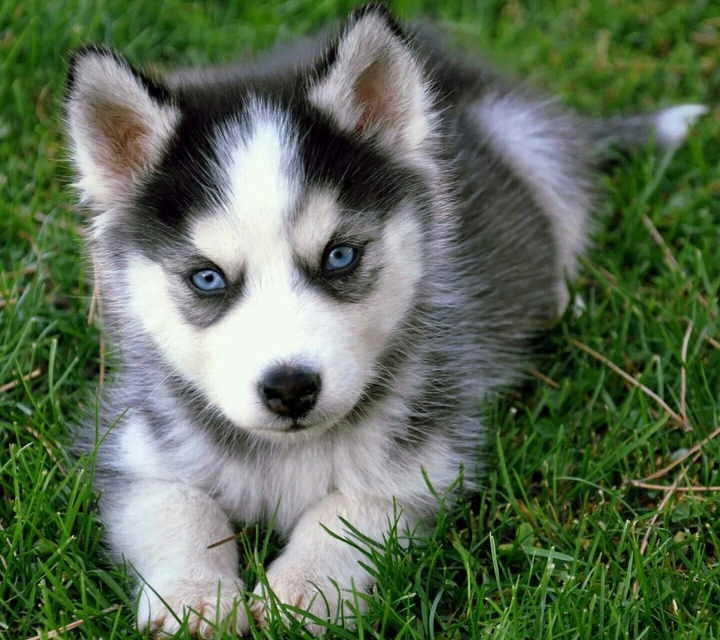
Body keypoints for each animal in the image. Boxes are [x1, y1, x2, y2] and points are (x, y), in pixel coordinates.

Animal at [64, 4, 706, 636]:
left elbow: (349, 510)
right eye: (207, 279)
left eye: (339, 256)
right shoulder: (135, 443)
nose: (290, 389)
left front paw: (302, 591)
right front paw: (193, 597)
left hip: (532, 145)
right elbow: (177, 505)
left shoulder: (426, 456)